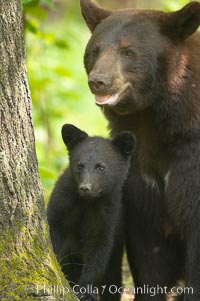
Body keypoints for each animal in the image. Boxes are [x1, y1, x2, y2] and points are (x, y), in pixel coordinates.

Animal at [46, 123, 134, 298]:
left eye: (101, 167)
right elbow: (55, 231)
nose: (85, 188)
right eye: (80, 165)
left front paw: (85, 291)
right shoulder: (62, 203)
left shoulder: (107, 213)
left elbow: (98, 249)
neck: (87, 201)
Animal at [80, 0, 200, 298]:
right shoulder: (139, 173)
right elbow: (148, 249)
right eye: (95, 49)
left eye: (128, 51)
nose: (98, 81)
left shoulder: (191, 161)